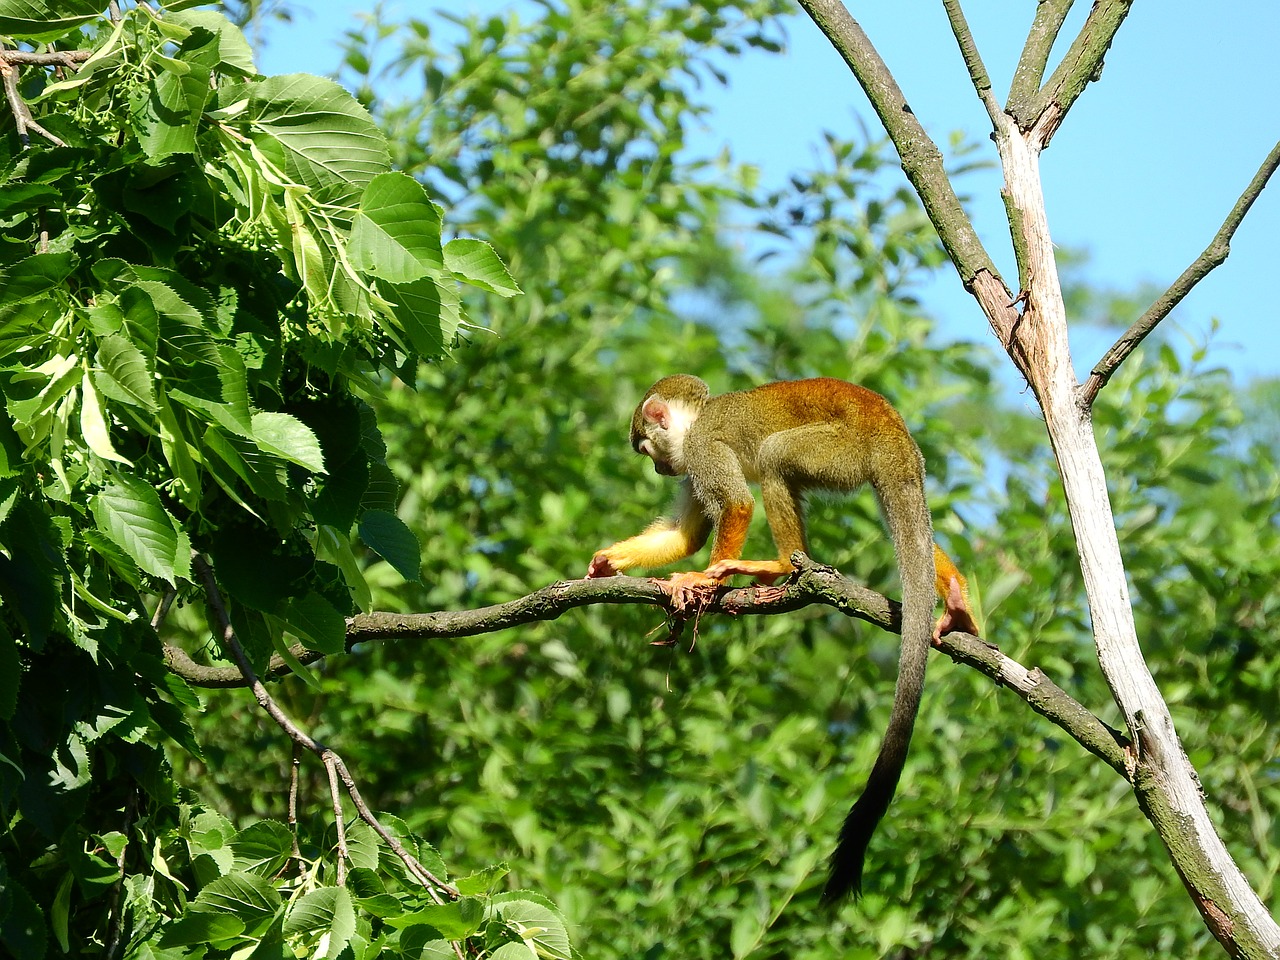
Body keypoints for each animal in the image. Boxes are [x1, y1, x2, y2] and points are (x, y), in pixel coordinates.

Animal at [586, 373, 977, 901]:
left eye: (646, 448)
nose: (657, 468)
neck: (695, 424)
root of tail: (891, 427)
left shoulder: (703, 448)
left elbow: (736, 504)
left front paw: (705, 583)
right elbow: (685, 535)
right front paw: (608, 560)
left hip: (840, 451)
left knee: (775, 456)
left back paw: (781, 563)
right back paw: (955, 604)